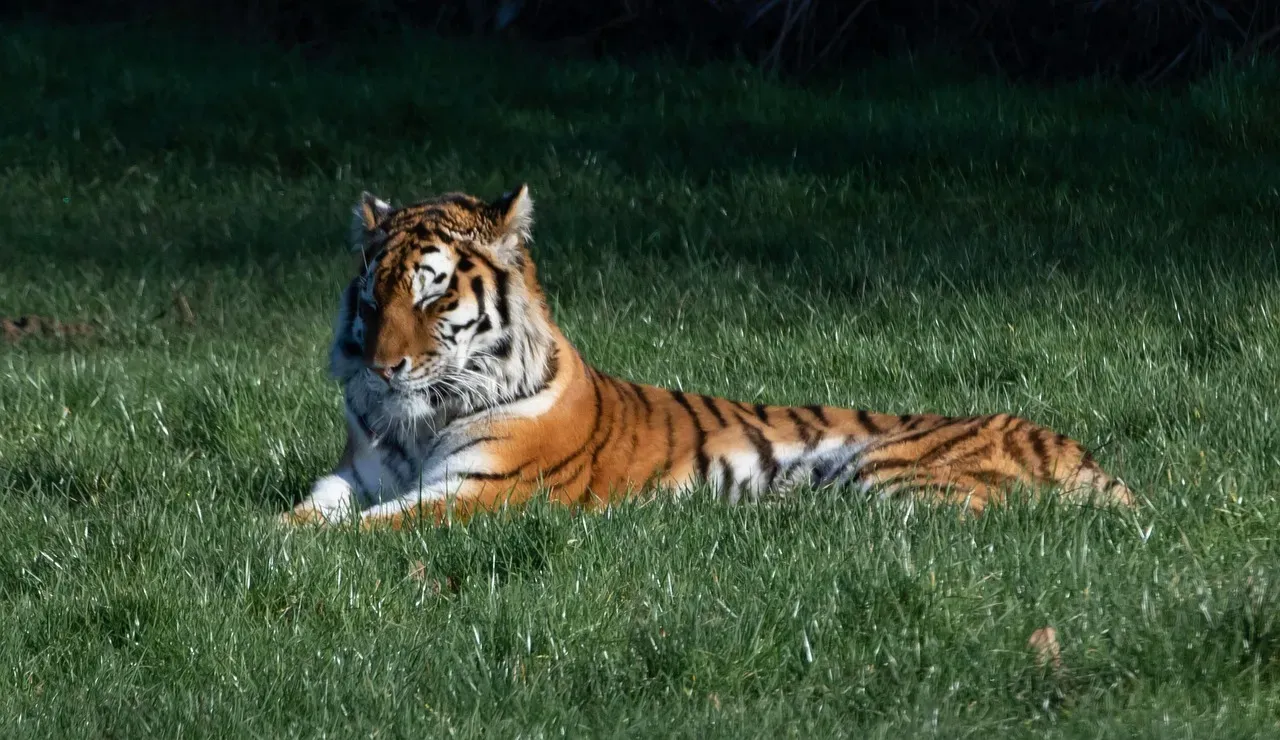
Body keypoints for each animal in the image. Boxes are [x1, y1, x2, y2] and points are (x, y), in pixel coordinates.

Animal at [281, 184, 1135, 528]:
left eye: (431, 297)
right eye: (375, 297)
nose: (382, 368)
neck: (419, 419)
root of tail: (1079, 450)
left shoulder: (479, 492)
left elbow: (366, 531)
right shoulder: (358, 472)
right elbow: (312, 508)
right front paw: (273, 531)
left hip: (894, 473)